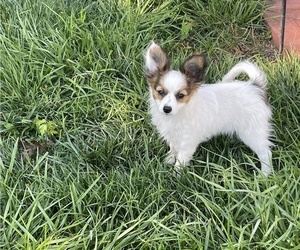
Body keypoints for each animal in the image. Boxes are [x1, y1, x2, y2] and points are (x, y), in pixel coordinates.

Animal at [144, 41, 274, 176]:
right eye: (160, 92)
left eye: (181, 96)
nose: (167, 109)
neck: (179, 112)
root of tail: (255, 87)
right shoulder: (173, 134)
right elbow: (173, 147)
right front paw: (169, 159)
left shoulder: (187, 143)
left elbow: (180, 161)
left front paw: (176, 175)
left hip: (252, 132)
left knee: (265, 153)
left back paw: (264, 175)